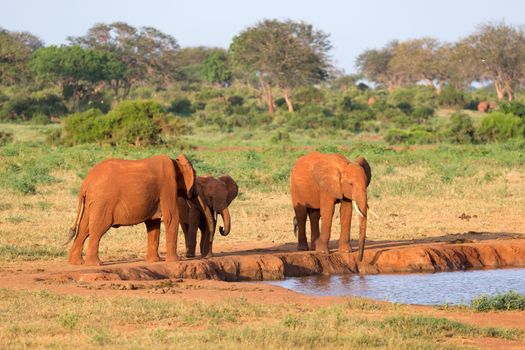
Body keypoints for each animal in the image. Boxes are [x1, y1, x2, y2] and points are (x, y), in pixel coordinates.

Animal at [66, 153, 214, 266]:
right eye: (195, 176)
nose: (206, 256)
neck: (176, 162)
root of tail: (85, 183)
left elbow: (153, 223)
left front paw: (155, 261)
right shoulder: (167, 186)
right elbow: (171, 217)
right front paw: (175, 261)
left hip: (92, 202)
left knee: (84, 228)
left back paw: (77, 263)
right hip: (103, 201)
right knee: (98, 228)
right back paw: (95, 264)